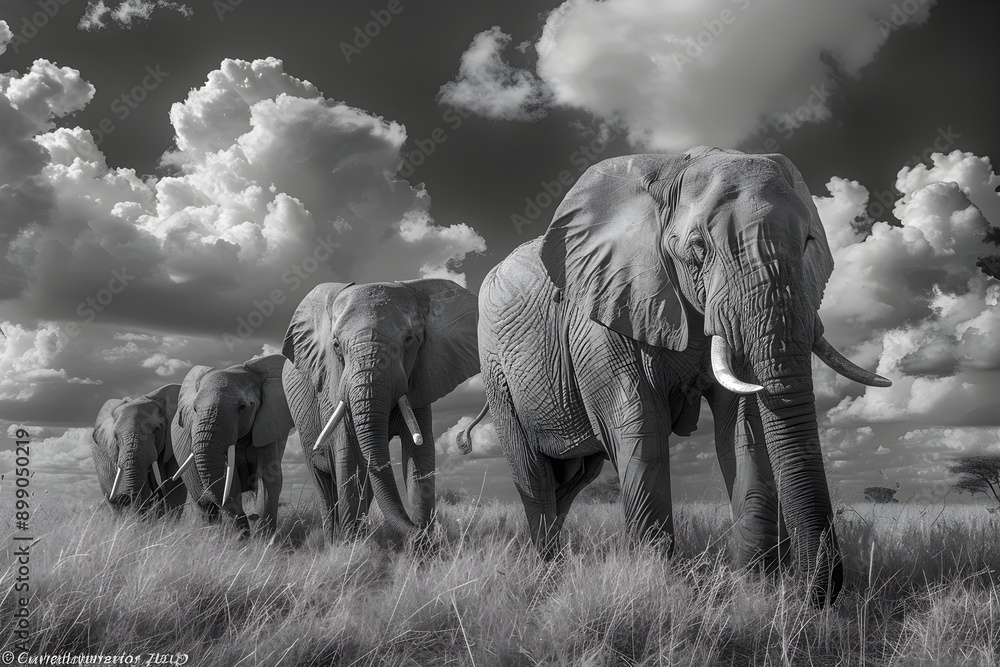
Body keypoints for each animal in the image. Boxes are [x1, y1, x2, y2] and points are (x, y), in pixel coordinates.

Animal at [170, 355, 294, 535]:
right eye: (194, 409)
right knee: (204, 505)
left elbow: (268, 478)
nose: (252, 517)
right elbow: (229, 481)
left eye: (242, 407)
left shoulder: (267, 425)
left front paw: (263, 538)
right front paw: (241, 538)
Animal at [281, 279, 479, 538]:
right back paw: (334, 537)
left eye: (410, 339)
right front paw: (350, 545)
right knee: (323, 482)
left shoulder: (421, 379)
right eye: (336, 345)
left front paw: (423, 545)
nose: (422, 531)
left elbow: (420, 456)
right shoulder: (332, 388)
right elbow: (347, 457)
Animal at [471, 147, 890, 607]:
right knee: (535, 477)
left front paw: (753, 590)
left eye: (809, 242)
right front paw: (655, 588)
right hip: (496, 372)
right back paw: (546, 577)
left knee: (570, 480)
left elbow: (745, 428)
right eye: (697, 248)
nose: (807, 594)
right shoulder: (604, 310)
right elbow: (640, 428)